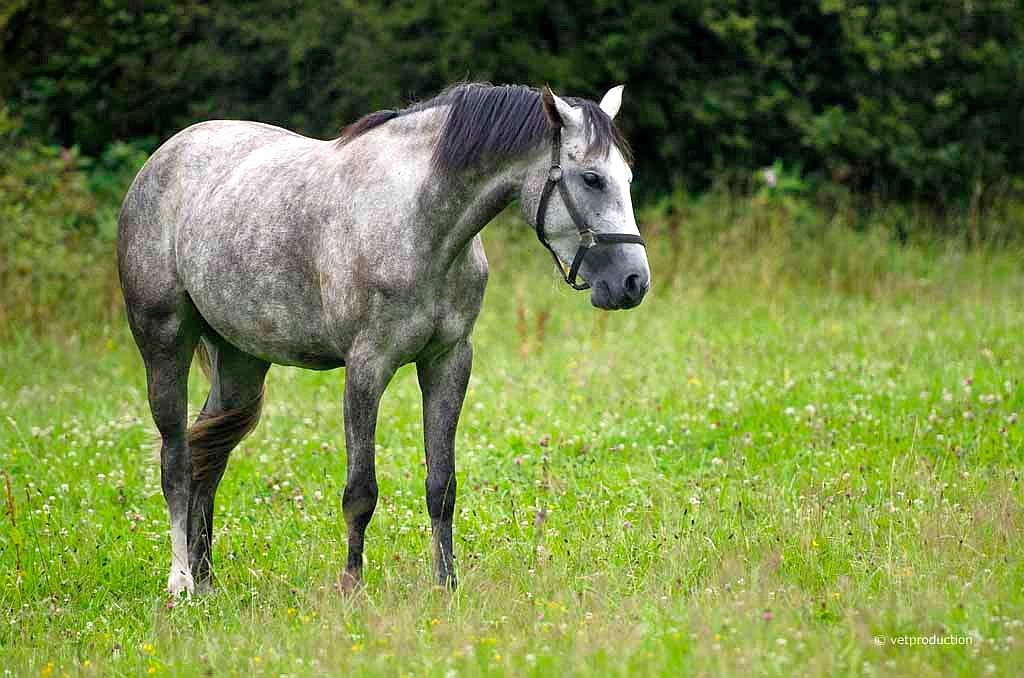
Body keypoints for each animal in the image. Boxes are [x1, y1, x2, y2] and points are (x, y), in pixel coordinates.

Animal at [117, 82, 647, 598]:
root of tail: (162, 158)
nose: (634, 282)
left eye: (626, 177)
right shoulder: (366, 368)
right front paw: (352, 587)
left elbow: (441, 485)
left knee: (209, 459)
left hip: (240, 361)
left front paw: (446, 586)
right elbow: (360, 492)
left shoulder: (448, 361)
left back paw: (206, 582)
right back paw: (181, 583)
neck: (417, 221)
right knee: (176, 460)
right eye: (592, 179)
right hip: (164, 343)